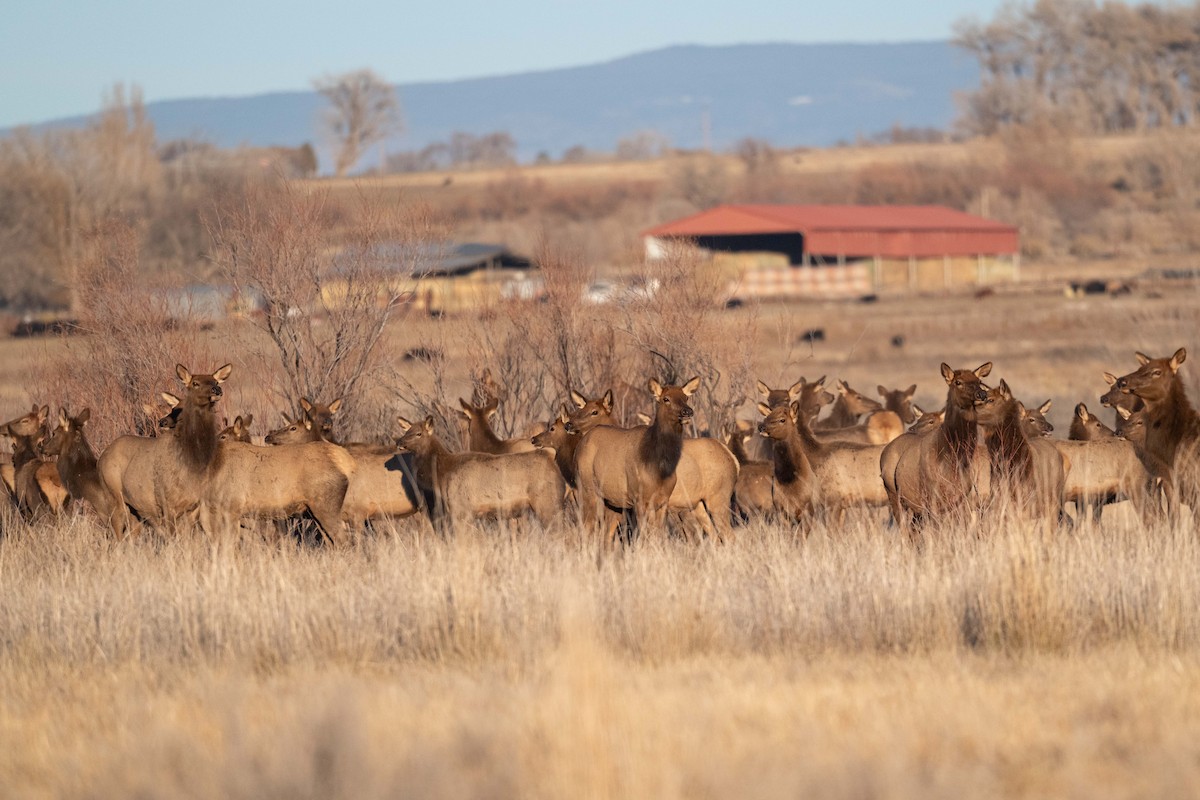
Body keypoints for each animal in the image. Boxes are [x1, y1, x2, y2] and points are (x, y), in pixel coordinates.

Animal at [396, 415, 564, 534]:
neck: (441, 474)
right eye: (406, 431)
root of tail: (552, 461)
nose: (399, 441)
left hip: (547, 502)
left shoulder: (461, 509)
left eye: (418, 433)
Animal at [574, 377, 699, 545]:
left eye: (685, 397)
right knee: (587, 527)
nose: (687, 412)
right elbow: (644, 534)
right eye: (666, 399)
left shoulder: (664, 499)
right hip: (587, 487)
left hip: (612, 501)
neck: (658, 467)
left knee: (606, 533)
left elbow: (659, 534)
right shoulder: (638, 496)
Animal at [892, 362, 992, 530]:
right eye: (958, 382)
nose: (982, 394)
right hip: (896, 497)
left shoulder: (962, 495)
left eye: (979, 381)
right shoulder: (932, 493)